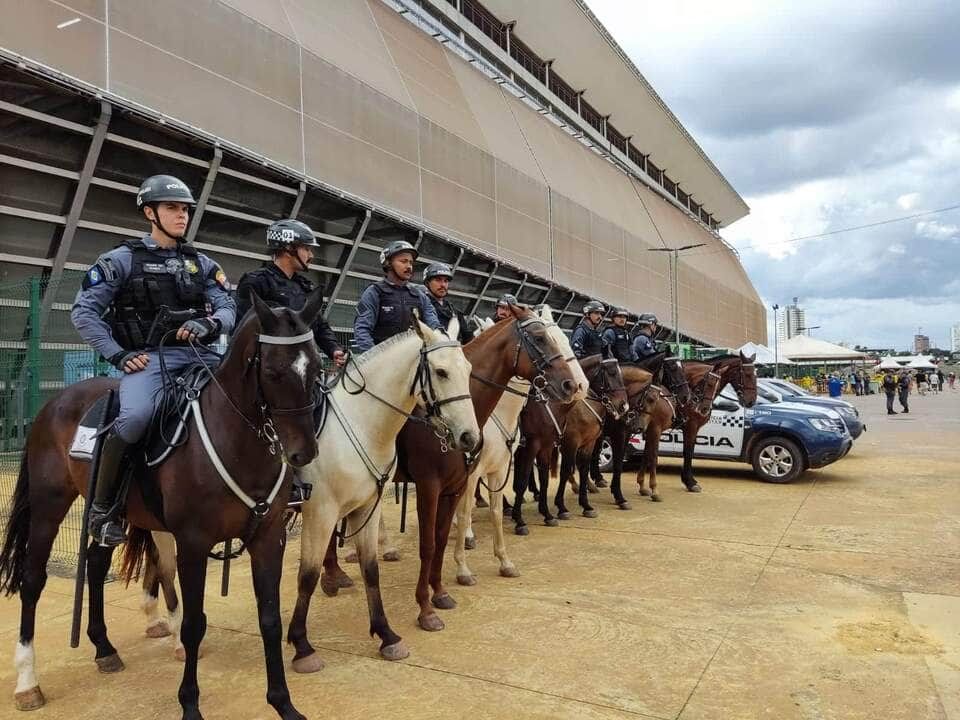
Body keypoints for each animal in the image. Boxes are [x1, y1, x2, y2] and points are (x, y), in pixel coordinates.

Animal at [0, 292, 324, 720]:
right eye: (271, 371)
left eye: (316, 368)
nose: (304, 453)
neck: (234, 440)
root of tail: (55, 401)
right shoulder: (193, 544)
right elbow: (193, 624)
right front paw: (190, 704)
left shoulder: (268, 539)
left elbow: (269, 619)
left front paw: (284, 703)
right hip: (48, 506)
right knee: (32, 579)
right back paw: (27, 681)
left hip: (115, 516)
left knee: (96, 563)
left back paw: (103, 648)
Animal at [284, 316, 480, 668]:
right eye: (441, 372)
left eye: (469, 370)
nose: (470, 437)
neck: (360, 423)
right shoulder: (321, 511)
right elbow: (306, 575)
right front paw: (302, 646)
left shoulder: (368, 506)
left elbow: (371, 569)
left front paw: (387, 635)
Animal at [302, 304, 584, 636]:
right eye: (541, 338)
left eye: (562, 339)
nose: (573, 386)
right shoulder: (433, 485)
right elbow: (434, 539)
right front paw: (433, 600)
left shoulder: (471, 479)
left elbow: (459, 529)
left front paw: (450, 588)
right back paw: (335, 573)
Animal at [636, 350, 756, 500]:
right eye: (747, 374)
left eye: (755, 374)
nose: (752, 401)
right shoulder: (690, 427)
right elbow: (688, 452)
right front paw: (690, 482)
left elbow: (648, 453)